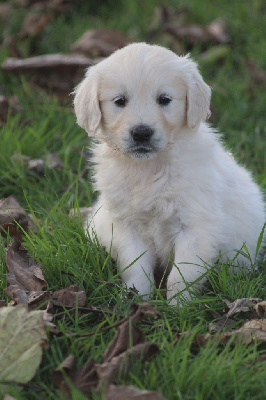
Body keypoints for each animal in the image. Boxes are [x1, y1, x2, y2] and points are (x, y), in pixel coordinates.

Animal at [73, 42, 266, 304]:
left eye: (164, 99)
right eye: (120, 101)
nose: (142, 133)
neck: (149, 168)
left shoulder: (196, 226)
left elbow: (182, 274)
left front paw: (178, 308)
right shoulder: (125, 226)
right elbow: (135, 267)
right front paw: (136, 300)